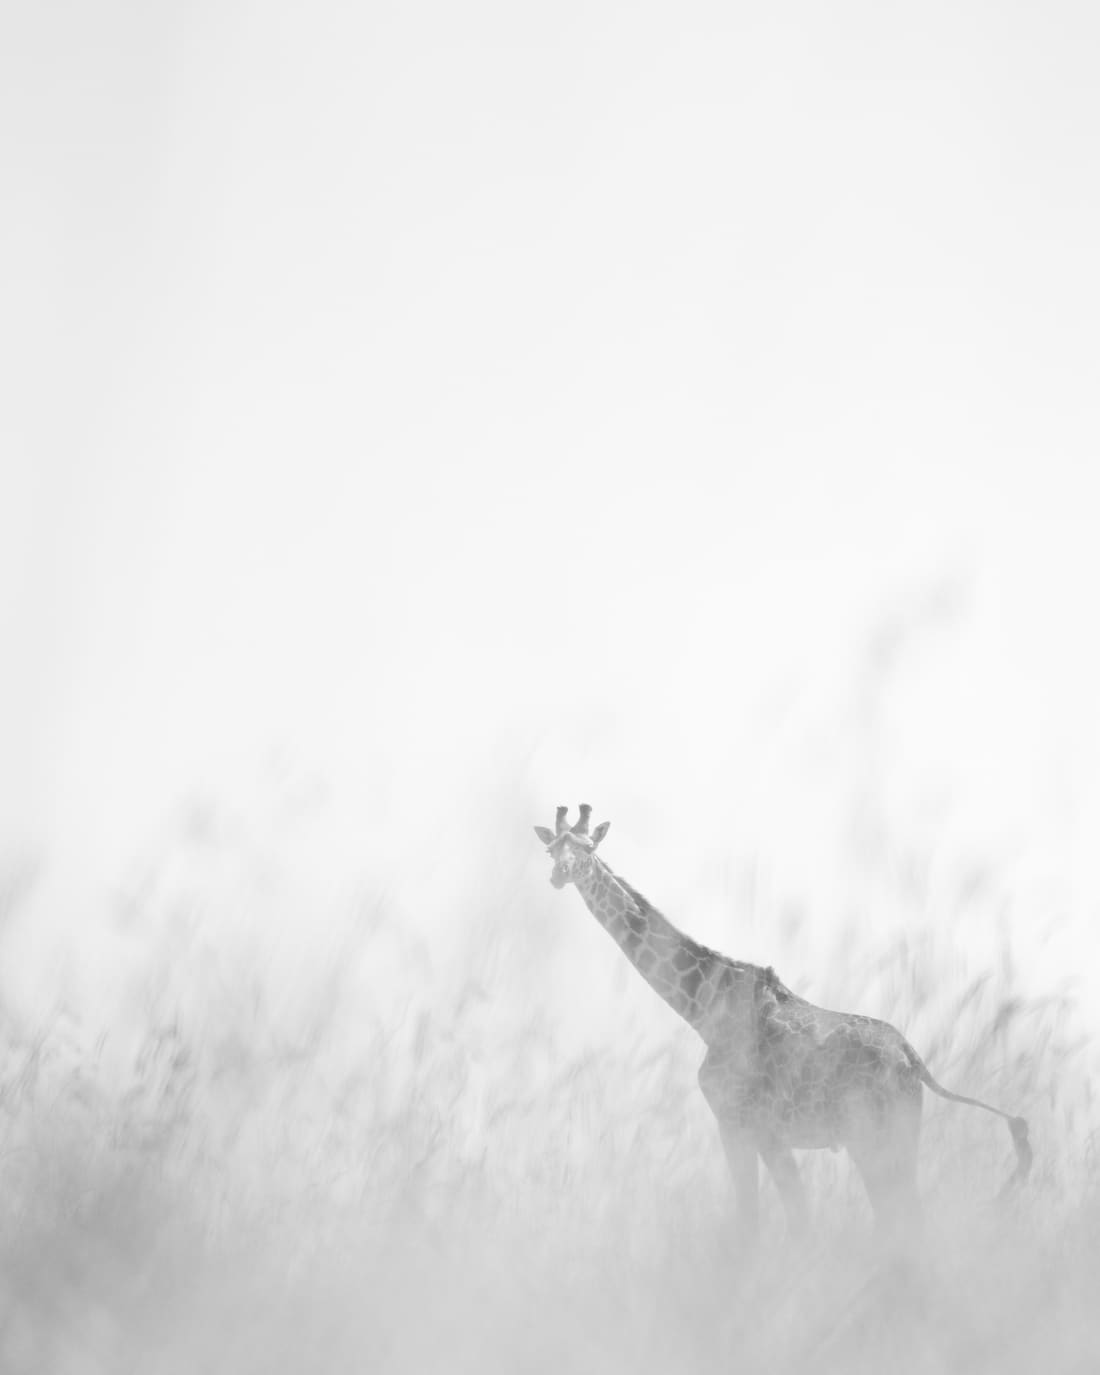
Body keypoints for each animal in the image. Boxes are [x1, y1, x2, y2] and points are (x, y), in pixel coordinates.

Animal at [533, 804, 1032, 1241]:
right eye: (552, 847)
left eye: (587, 846)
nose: (560, 874)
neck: (702, 1010)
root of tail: (914, 1060)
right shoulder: (765, 1134)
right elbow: (788, 1221)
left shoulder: (741, 1124)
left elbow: (763, 1223)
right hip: (892, 1136)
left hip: (876, 1136)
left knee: (904, 1217)